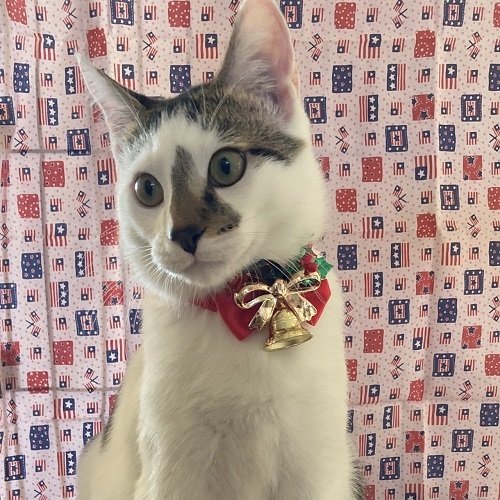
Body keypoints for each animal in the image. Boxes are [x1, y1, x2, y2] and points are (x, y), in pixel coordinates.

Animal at [77, 0, 363, 498]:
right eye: (148, 189)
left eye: (226, 166)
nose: (184, 232)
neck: (241, 316)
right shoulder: (168, 472)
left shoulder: (320, 466)